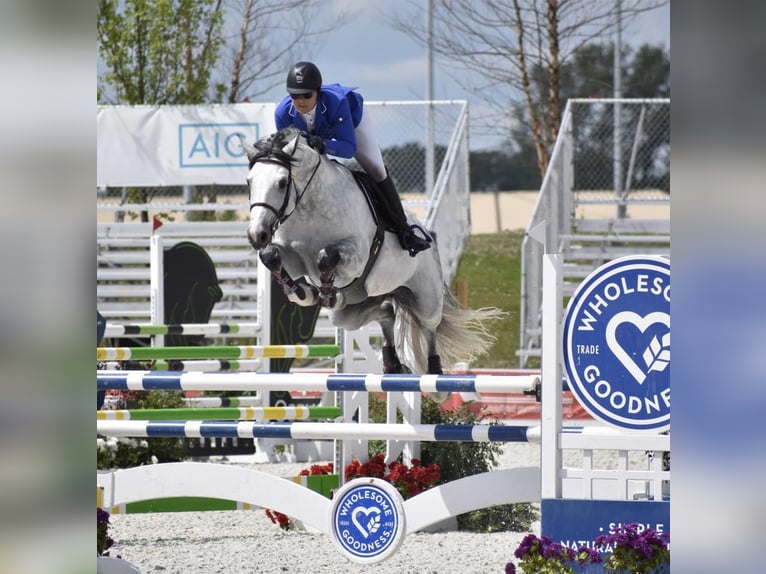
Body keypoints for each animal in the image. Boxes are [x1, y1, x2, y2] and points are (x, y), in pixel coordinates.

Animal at [242, 126, 504, 378]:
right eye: (249, 182)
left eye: (282, 182)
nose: (257, 235)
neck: (308, 206)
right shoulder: (294, 259)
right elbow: (271, 256)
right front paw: (302, 292)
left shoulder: (355, 256)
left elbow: (326, 257)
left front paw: (324, 293)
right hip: (352, 311)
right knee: (386, 312)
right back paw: (392, 363)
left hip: (426, 298)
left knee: (429, 327)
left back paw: (434, 372)